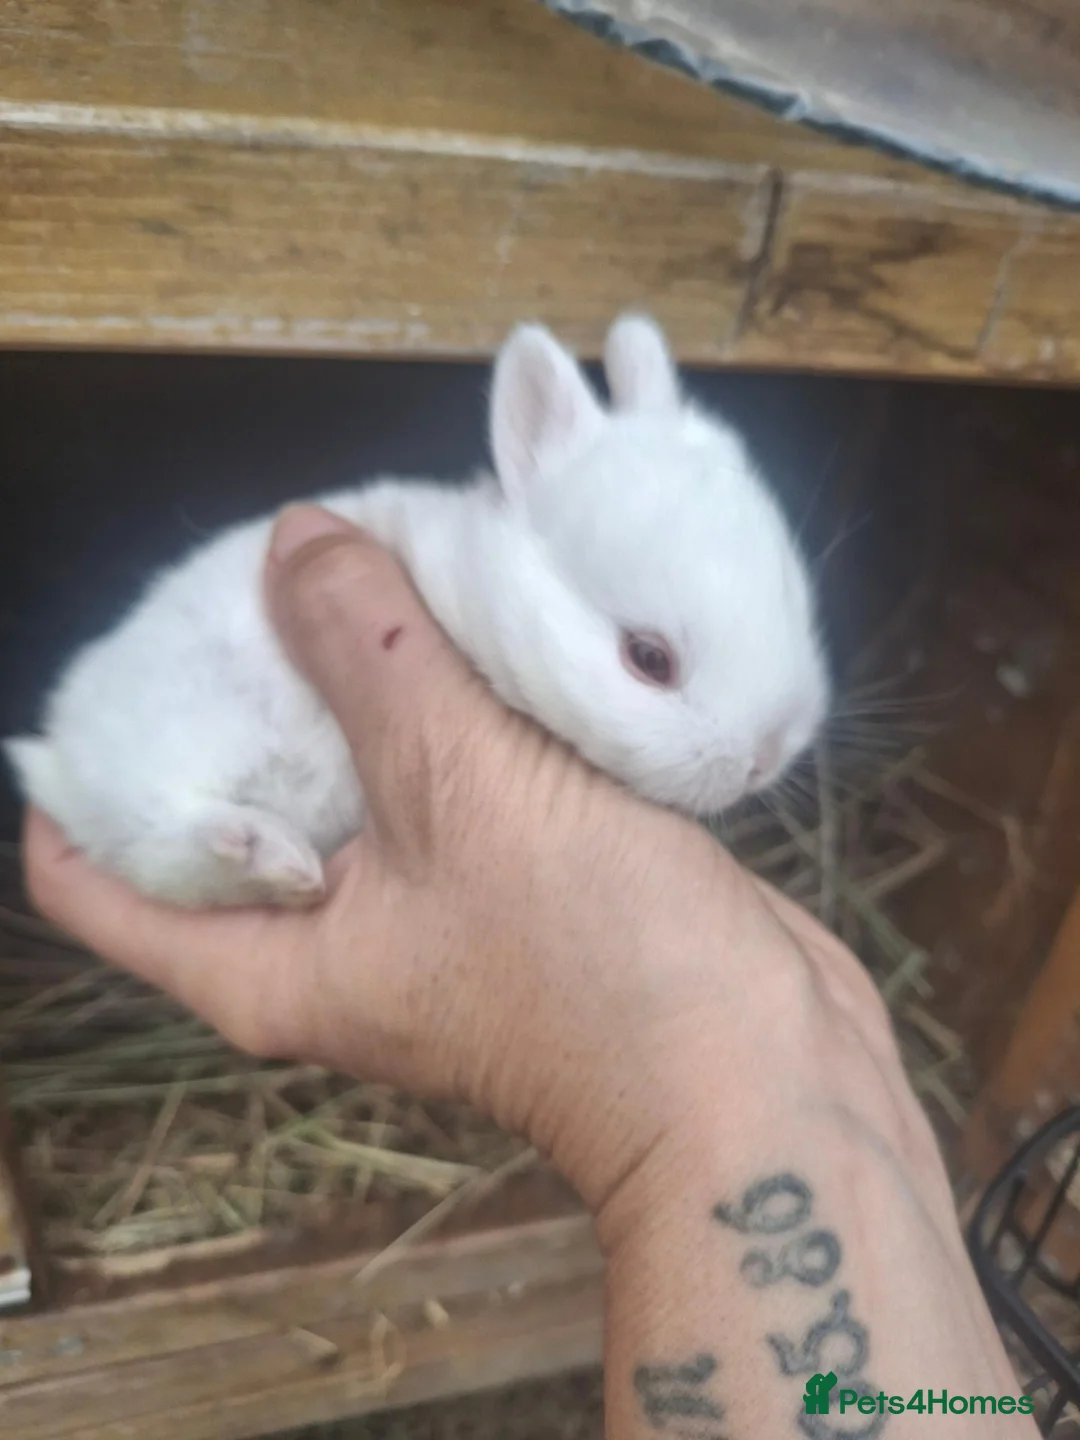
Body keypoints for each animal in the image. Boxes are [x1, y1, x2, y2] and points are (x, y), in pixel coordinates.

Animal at [4, 313, 829, 910]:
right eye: (649, 659)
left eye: (794, 597)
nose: (763, 760)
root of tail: (59, 760)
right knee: (157, 845)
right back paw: (264, 853)